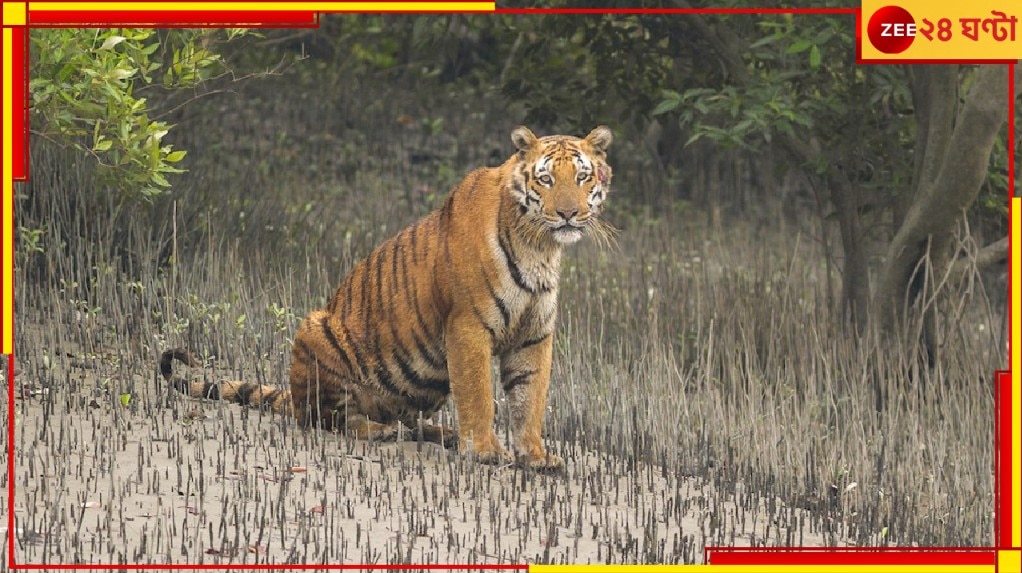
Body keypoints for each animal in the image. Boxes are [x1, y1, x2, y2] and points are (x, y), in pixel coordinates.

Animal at [161, 126, 613, 469]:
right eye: (546, 179)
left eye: (582, 177)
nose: (568, 214)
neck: (540, 247)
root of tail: (293, 393)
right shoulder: (468, 327)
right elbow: (479, 394)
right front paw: (485, 451)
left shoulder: (534, 336)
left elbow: (530, 398)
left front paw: (535, 456)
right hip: (317, 329)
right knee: (324, 418)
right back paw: (377, 431)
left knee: (407, 420)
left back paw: (441, 433)